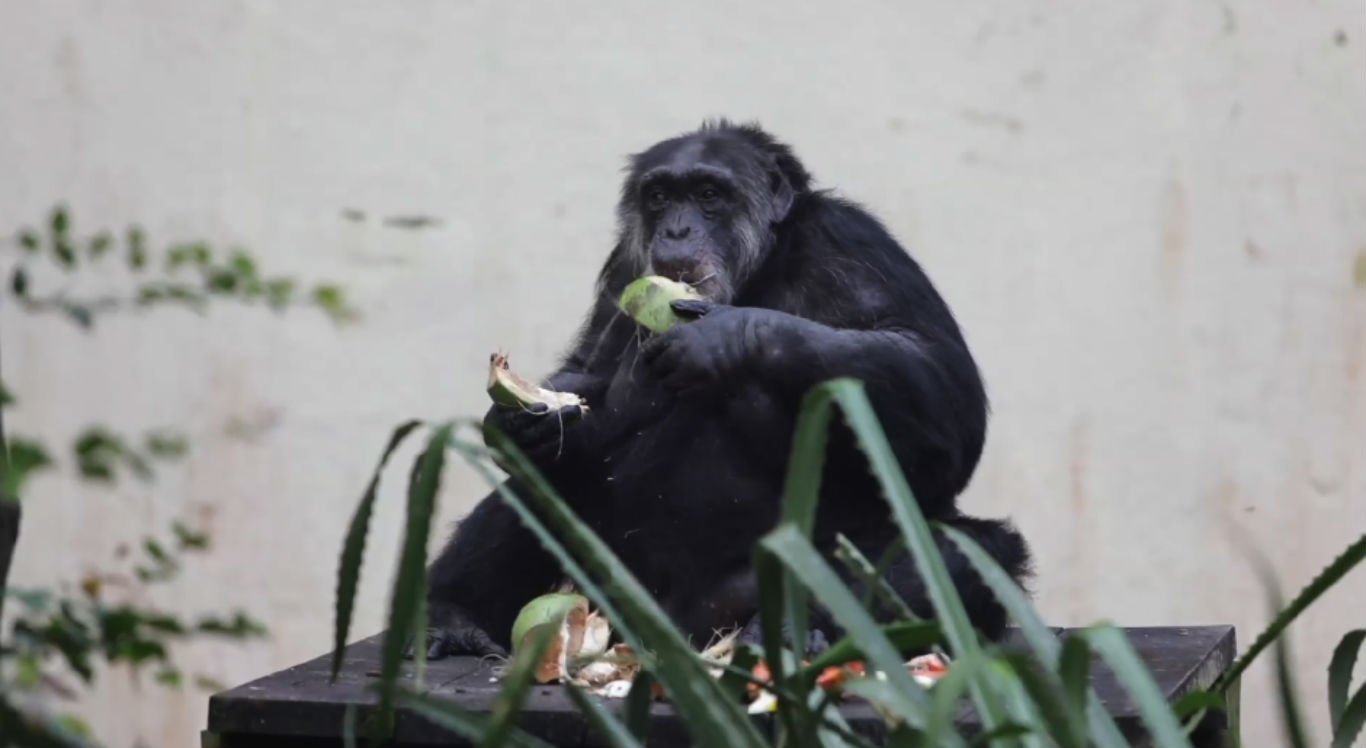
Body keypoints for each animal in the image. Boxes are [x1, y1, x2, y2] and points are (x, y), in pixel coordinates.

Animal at [420, 120, 1027, 657]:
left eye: (709, 195)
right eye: (660, 196)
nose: (677, 229)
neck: (759, 268)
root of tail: (666, 634)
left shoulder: (854, 246)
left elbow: (936, 384)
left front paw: (726, 336)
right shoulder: (624, 267)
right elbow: (590, 371)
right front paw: (531, 420)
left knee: (973, 550)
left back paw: (793, 631)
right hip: (614, 593)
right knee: (545, 480)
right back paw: (450, 615)